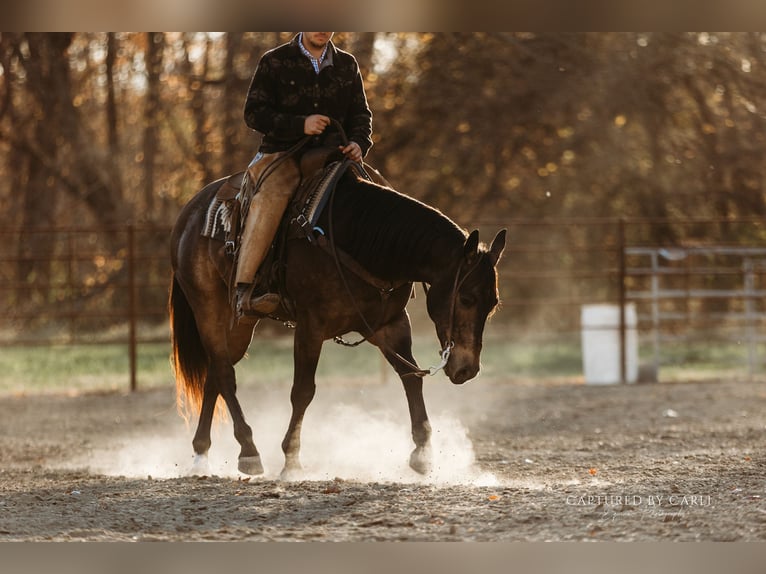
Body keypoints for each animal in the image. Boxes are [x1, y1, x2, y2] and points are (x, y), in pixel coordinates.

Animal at [169, 159, 506, 478]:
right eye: (467, 298)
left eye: (493, 304)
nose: (467, 368)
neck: (362, 239)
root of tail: (189, 212)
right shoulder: (310, 327)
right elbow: (303, 391)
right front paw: (291, 460)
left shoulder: (390, 325)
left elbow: (411, 377)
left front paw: (422, 455)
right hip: (208, 308)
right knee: (225, 373)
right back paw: (249, 451)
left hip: (241, 322)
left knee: (216, 371)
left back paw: (201, 454)